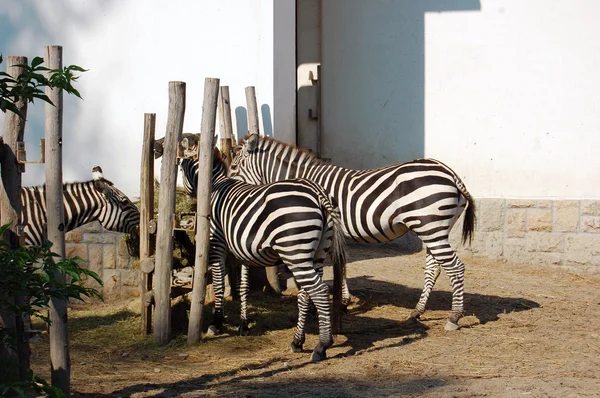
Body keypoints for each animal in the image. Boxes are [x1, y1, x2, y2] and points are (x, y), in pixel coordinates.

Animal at [180, 148, 344, 362]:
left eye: (180, 171)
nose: (188, 199)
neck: (215, 185)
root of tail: (317, 193)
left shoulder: (217, 243)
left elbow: (218, 284)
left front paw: (216, 323)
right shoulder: (242, 253)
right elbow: (243, 287)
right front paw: (243, 324)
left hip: (295, 252)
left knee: (320, 291)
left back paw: (322, 346)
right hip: (317, 253)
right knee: (306, 294)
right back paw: (297, 342)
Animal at [227, 133, 476, 330]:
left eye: (233, 167)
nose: (227, 187)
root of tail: (449, 172)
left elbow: (332, 267)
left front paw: (329, 304)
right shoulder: (334, 235)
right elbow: (341, 265)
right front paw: (343, 302)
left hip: (430, 227)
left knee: (455, 267)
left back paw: (454, 317)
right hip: (434, 229)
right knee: (434, 268)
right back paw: (416, 312)